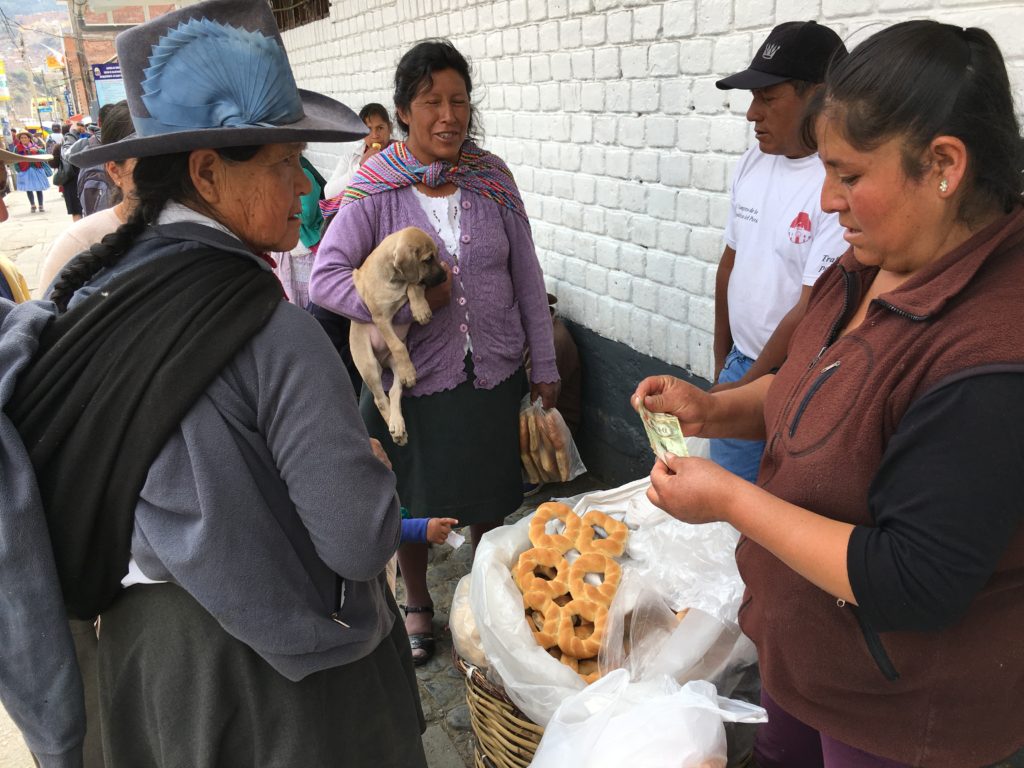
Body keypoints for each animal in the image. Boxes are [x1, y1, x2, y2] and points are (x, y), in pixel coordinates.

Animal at [350, 225, 446, 444]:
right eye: (428, 259)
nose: (445, 276)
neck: (393, 280)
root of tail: (383, 363)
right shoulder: (380, 319)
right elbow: (397, 344)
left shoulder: (412, 283)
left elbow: (413, 285)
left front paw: (420, 309)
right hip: (369, 366)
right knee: (379, 399)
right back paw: (394, 428)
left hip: (393, 367)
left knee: (394, 391)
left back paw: (398, 423)